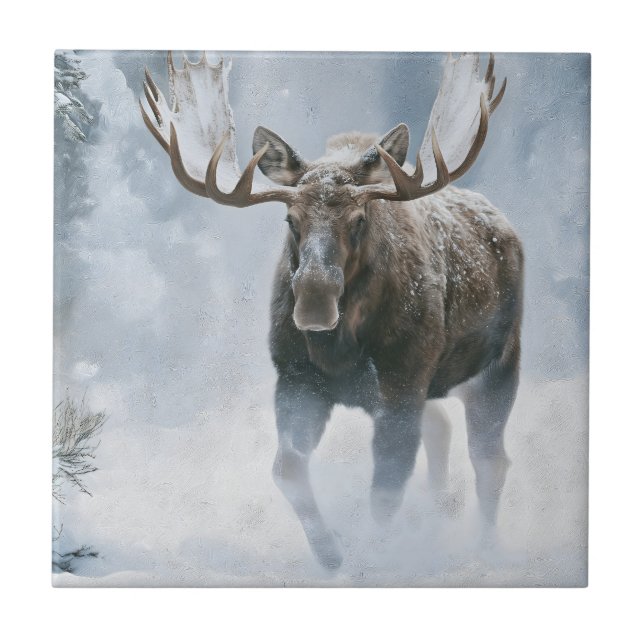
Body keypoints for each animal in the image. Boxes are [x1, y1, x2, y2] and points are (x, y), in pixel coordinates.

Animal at [141, 52, 523, 570]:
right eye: (290, 219)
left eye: (360, 219)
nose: (314, 303)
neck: (341, 350)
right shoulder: (296, 378)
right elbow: (287, 469)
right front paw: (332, 554)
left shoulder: (403, 382)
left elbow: (386, 488)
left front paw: (370, 560)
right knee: (442, 429)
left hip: (499, 363)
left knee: (489, 460)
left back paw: (483, 551)